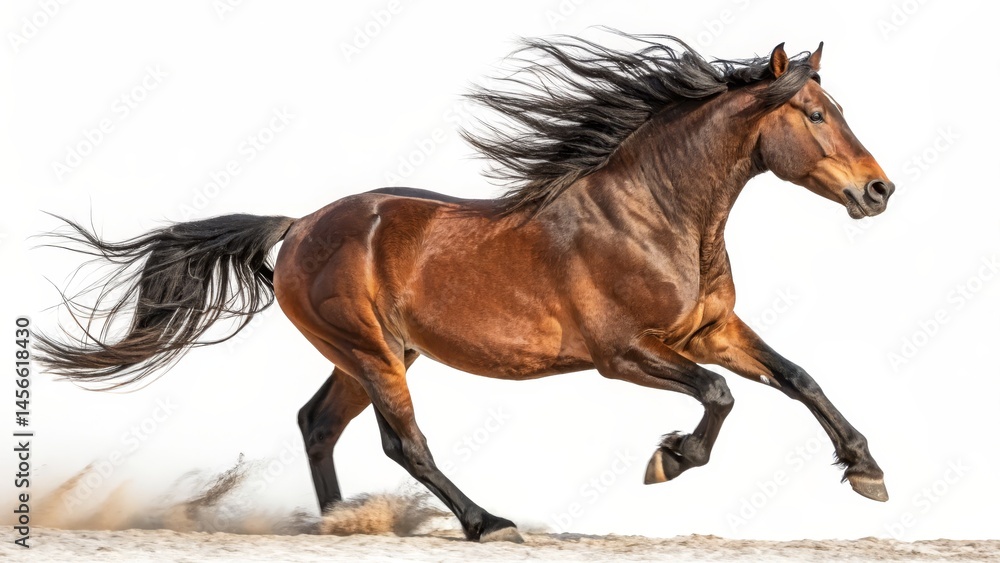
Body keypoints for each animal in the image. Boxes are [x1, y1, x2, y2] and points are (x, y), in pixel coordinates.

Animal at [38, 32, 895, 543]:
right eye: (815, 113)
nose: (879, 190)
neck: (655, 215)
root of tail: (301, 223)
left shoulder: (708, 331)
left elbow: (798, 377)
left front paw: (866, 470)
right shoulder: (624, 353)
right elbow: (719, 394)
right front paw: (670, 458)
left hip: (378, 352)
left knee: (319, 422)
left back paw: (344, 520)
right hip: (371, 349)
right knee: (400, 439)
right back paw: (485, 521)